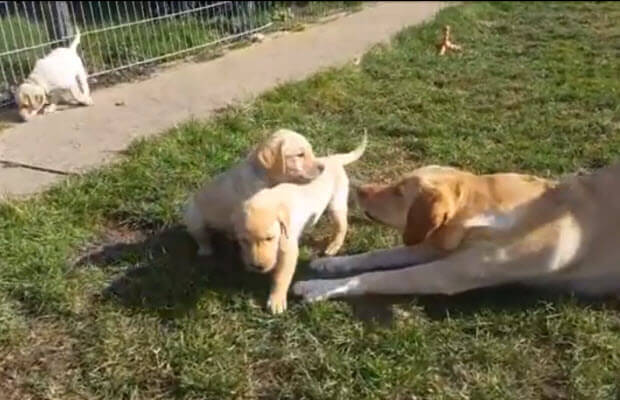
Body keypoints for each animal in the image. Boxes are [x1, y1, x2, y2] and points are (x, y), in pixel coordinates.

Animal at [232, 133, 368, 314]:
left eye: (269, 238)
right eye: (244, 241)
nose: (257, 267)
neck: (273, 199)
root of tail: (332, 159)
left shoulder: (288, 249)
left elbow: (281, 276)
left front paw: (276, 300)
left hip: (336, 203)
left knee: (342, 226)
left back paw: (334, 245)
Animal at [294, 161, 620, 302]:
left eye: (399, 192)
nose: (359, 190)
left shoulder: (445, 273)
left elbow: (376, 277)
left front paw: (317, 288)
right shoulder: (436, 243)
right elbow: (376, 256)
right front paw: (332, 263)